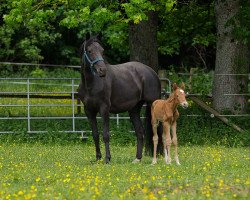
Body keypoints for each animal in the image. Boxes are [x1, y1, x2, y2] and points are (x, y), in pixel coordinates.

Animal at [77, 35, 161, 164]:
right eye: (90, 51)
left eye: (102, 50)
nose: (102, 70)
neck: (91, 84)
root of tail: (152, 72)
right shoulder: (89, 111)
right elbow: (95, 135)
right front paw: (98, 158)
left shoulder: (104, 109)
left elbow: (105, 134)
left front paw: (107, 158)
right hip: (134, 109)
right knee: (140, 131)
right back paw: (137, 158)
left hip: (153, 105)